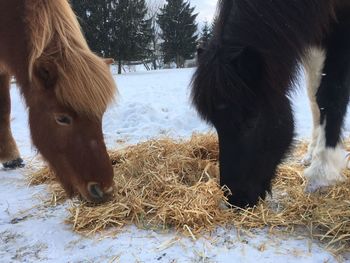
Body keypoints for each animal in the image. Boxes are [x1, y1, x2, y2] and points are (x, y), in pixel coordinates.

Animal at [191, 1, 350, 209]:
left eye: (251, 120)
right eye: (216, 124)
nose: (236, 200)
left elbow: (331, 94)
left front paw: (321, 173)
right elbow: (315, 95)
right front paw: (314, 154)